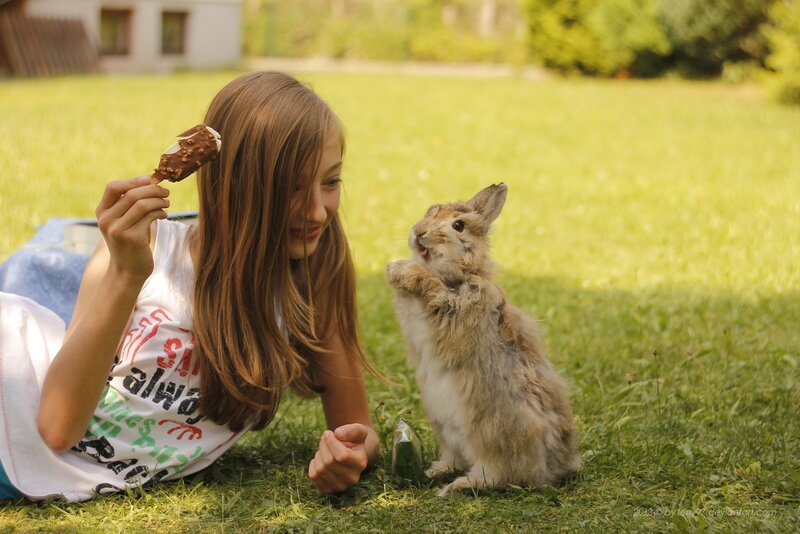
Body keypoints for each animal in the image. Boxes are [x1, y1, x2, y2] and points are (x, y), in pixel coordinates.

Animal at [386, 183, 580, 496]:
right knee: (455, 460)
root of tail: (552, 469)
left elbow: (432, 288)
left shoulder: (454, 307)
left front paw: (399, 269)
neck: (459, 273)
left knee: (492, 477)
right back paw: (433, 472)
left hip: (493, 438)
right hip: (447, 432)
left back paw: (451, 488)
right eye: (430, 210)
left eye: (458, 226)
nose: (419, 233)